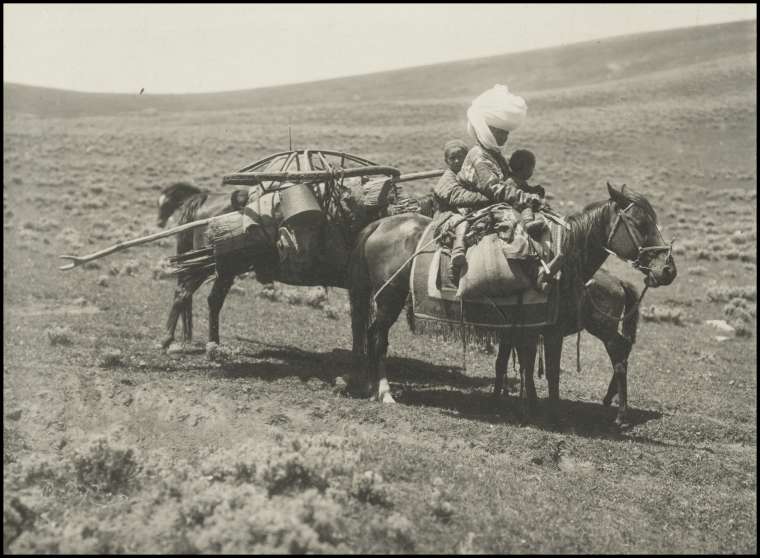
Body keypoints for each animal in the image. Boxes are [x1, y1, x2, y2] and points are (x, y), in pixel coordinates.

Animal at [348, 184, 672, 420]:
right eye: (641, 223)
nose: (668, 269)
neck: (565, 259)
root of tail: (378, 225)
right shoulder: (546, 331)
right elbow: (546, 371)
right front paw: (547, 411)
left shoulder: (526, 328)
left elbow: (518, 365)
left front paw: (523, 405)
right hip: (388, 298)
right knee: (377, 338)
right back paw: (384, 392)